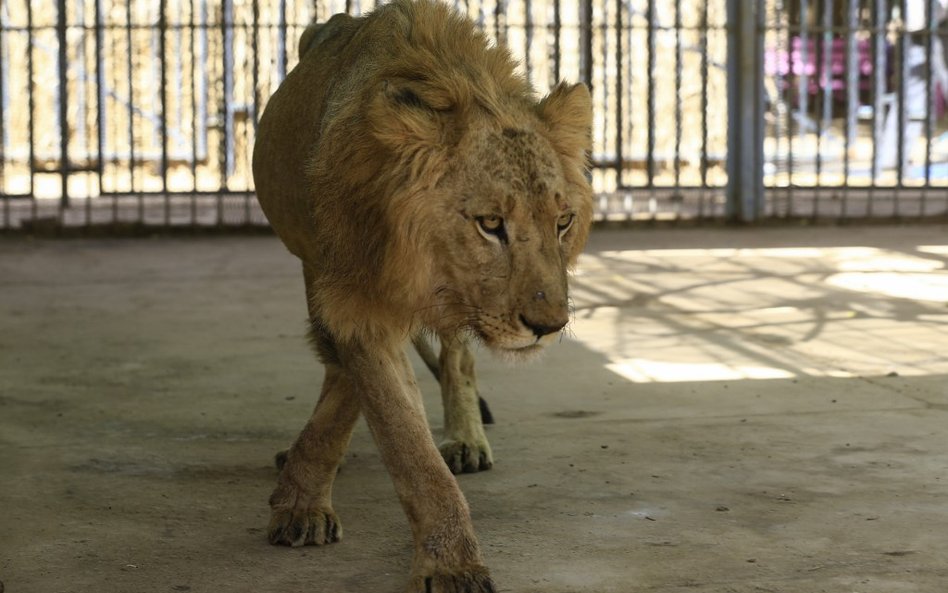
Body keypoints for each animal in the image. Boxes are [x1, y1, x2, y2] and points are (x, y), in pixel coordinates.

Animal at [252, 1, 592, 588]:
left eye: (563, 221)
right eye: (490, 224)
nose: (549, 326)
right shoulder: (349, 296)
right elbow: (404, 439)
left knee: (456, 360)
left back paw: (466, 440)